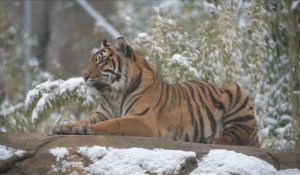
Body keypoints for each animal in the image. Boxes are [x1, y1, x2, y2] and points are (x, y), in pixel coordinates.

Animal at [52, 37, 258, 148]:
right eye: (91, 60)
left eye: (101, 61)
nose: (84, 76)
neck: (113, 93)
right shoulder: (101, 114)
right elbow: (82, 120)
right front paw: (64, 126)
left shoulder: (143, 120)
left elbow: (114, 123)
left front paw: (88, 130)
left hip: (237, 92)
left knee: (235, 138)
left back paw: (211, 140)